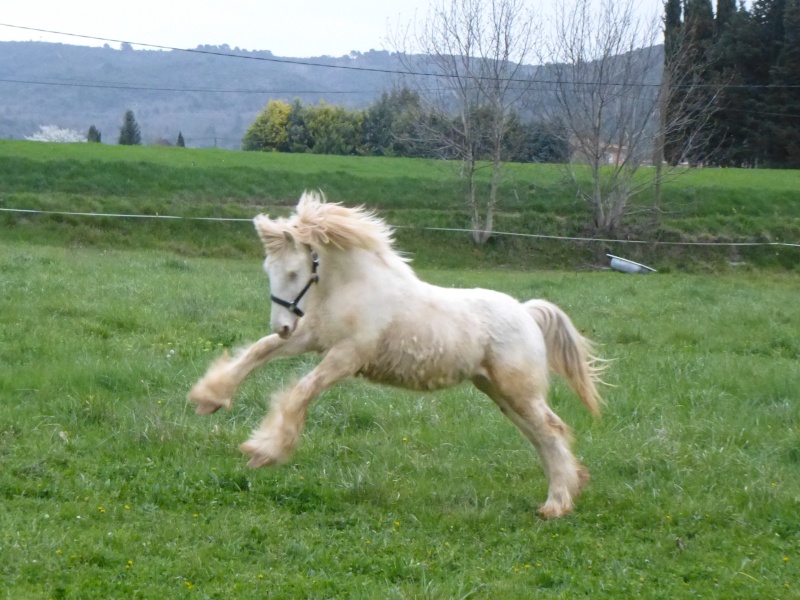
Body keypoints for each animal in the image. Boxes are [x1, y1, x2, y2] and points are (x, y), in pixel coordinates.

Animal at [189, 193, 608, 520]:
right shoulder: (313, 337)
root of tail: (527, 312)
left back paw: (557, 504)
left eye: (294, 272)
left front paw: (264, 451)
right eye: (268, 269)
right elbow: (258, 351)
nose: (283, 325)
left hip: (518, 389)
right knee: (538, 435)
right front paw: (209, 398)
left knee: (551, 431)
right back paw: (565, 492)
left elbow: (301, 392)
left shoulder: (346, 356)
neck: (354, 288)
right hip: (499, 391)